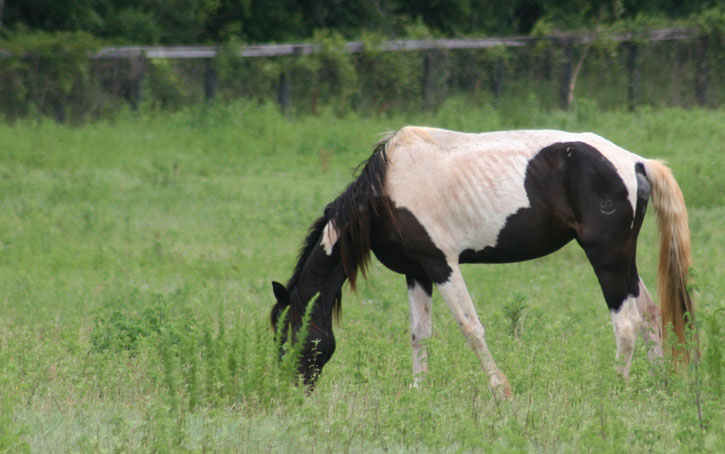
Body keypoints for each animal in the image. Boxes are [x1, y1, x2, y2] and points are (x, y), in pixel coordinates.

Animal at [270, 127, 695, 397]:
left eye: (288, 336)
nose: (291, 391)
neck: (385, 193)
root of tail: (636, 163)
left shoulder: (442, 265)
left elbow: (471, 328)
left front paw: (499, 390)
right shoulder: (416, 272)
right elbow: (419, 333)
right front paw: (418, 392)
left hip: (606, 257)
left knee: (627, 323)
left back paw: (615, 389)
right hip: (623, 260)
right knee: (652, 314)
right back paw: (658, 385)